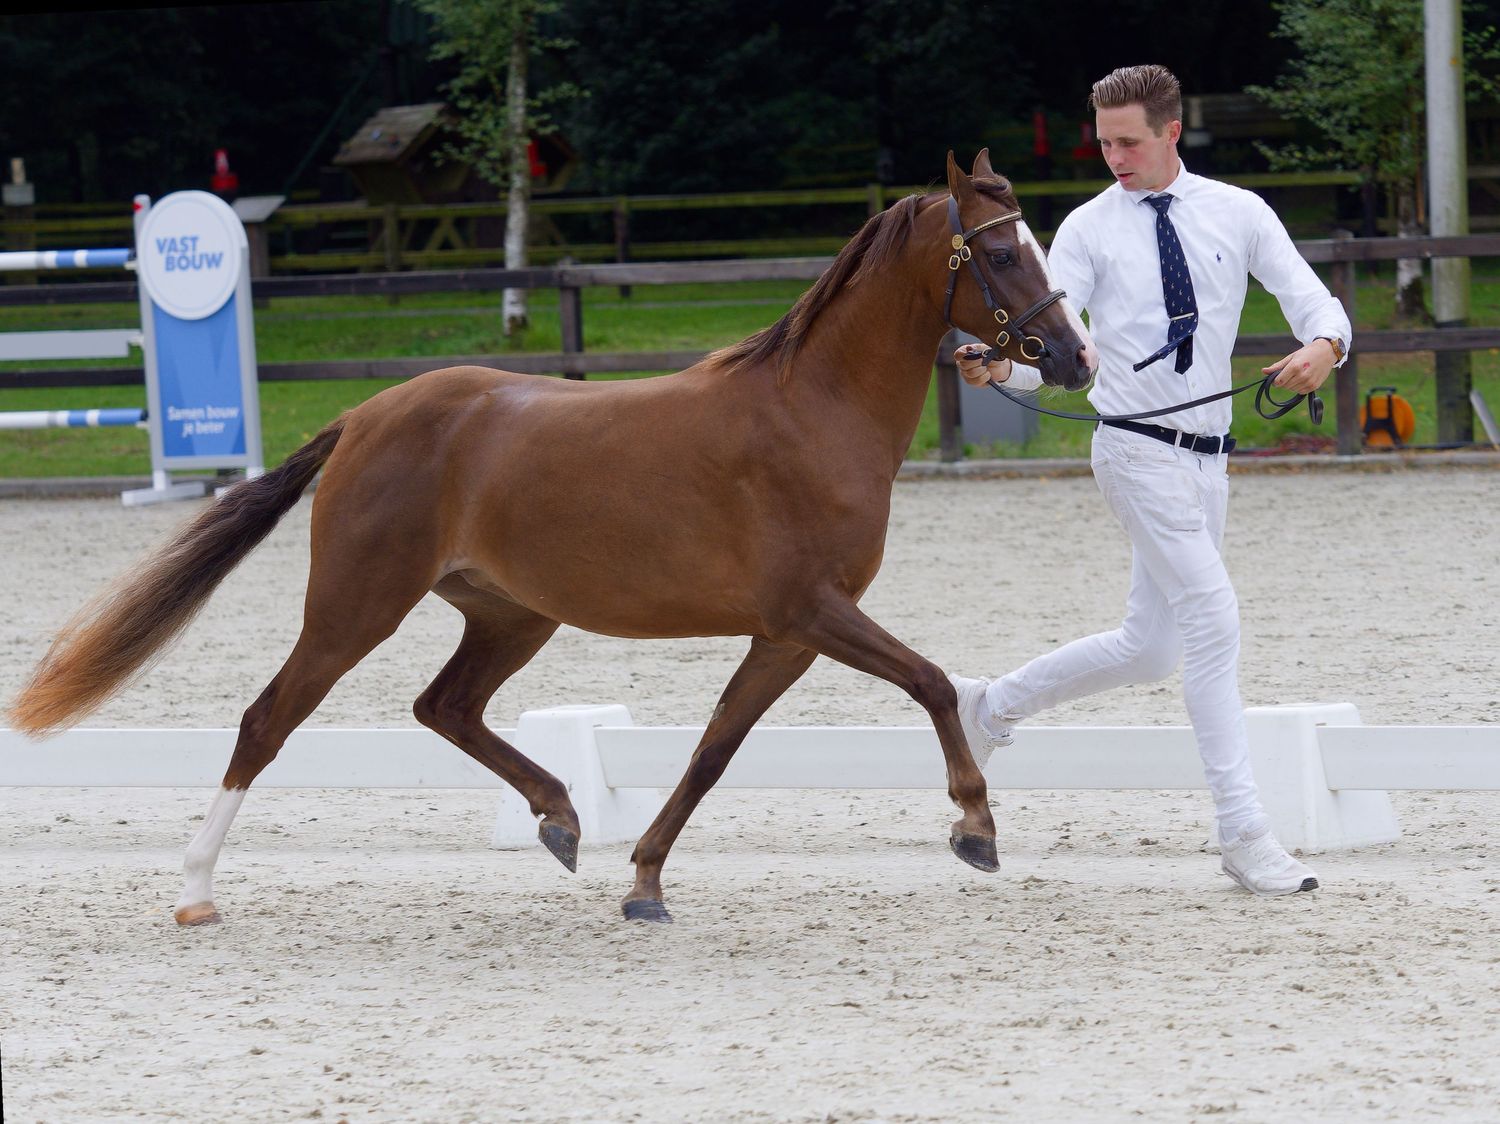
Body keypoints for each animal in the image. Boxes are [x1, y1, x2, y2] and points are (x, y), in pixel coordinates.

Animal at [9, 150, 1097, 925]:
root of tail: (363, 417)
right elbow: (930, 683)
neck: (813, 411)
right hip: (357, 604)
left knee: (443, 706)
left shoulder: (785, 633)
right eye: (1003, 252)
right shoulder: (814, 611)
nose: (1073, 358)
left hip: (511, 616)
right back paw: (195, 888)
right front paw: (975, 826)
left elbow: (714, 748)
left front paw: (644, 879)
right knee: (267, 719)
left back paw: (562, 817)